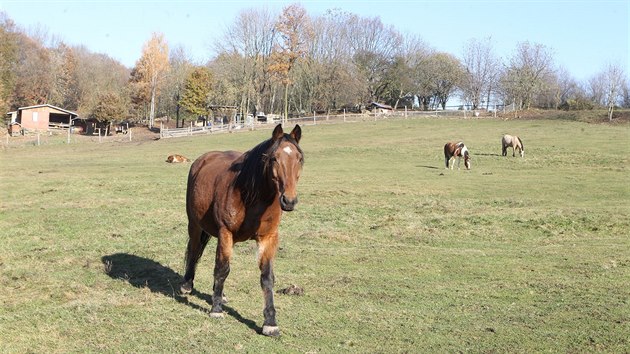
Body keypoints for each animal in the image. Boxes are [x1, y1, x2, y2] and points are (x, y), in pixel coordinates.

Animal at [181, 124, 304, 338]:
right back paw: (188, 285)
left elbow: (267, 278)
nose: (289, 201)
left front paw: (270, 322)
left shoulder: (268, 238)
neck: (251, 196)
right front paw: (216, 310)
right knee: (195, 250)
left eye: (299, 158)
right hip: (195, 225)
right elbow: (222, 269)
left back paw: (220, 294)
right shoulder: (225, 233)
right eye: (274, 158)